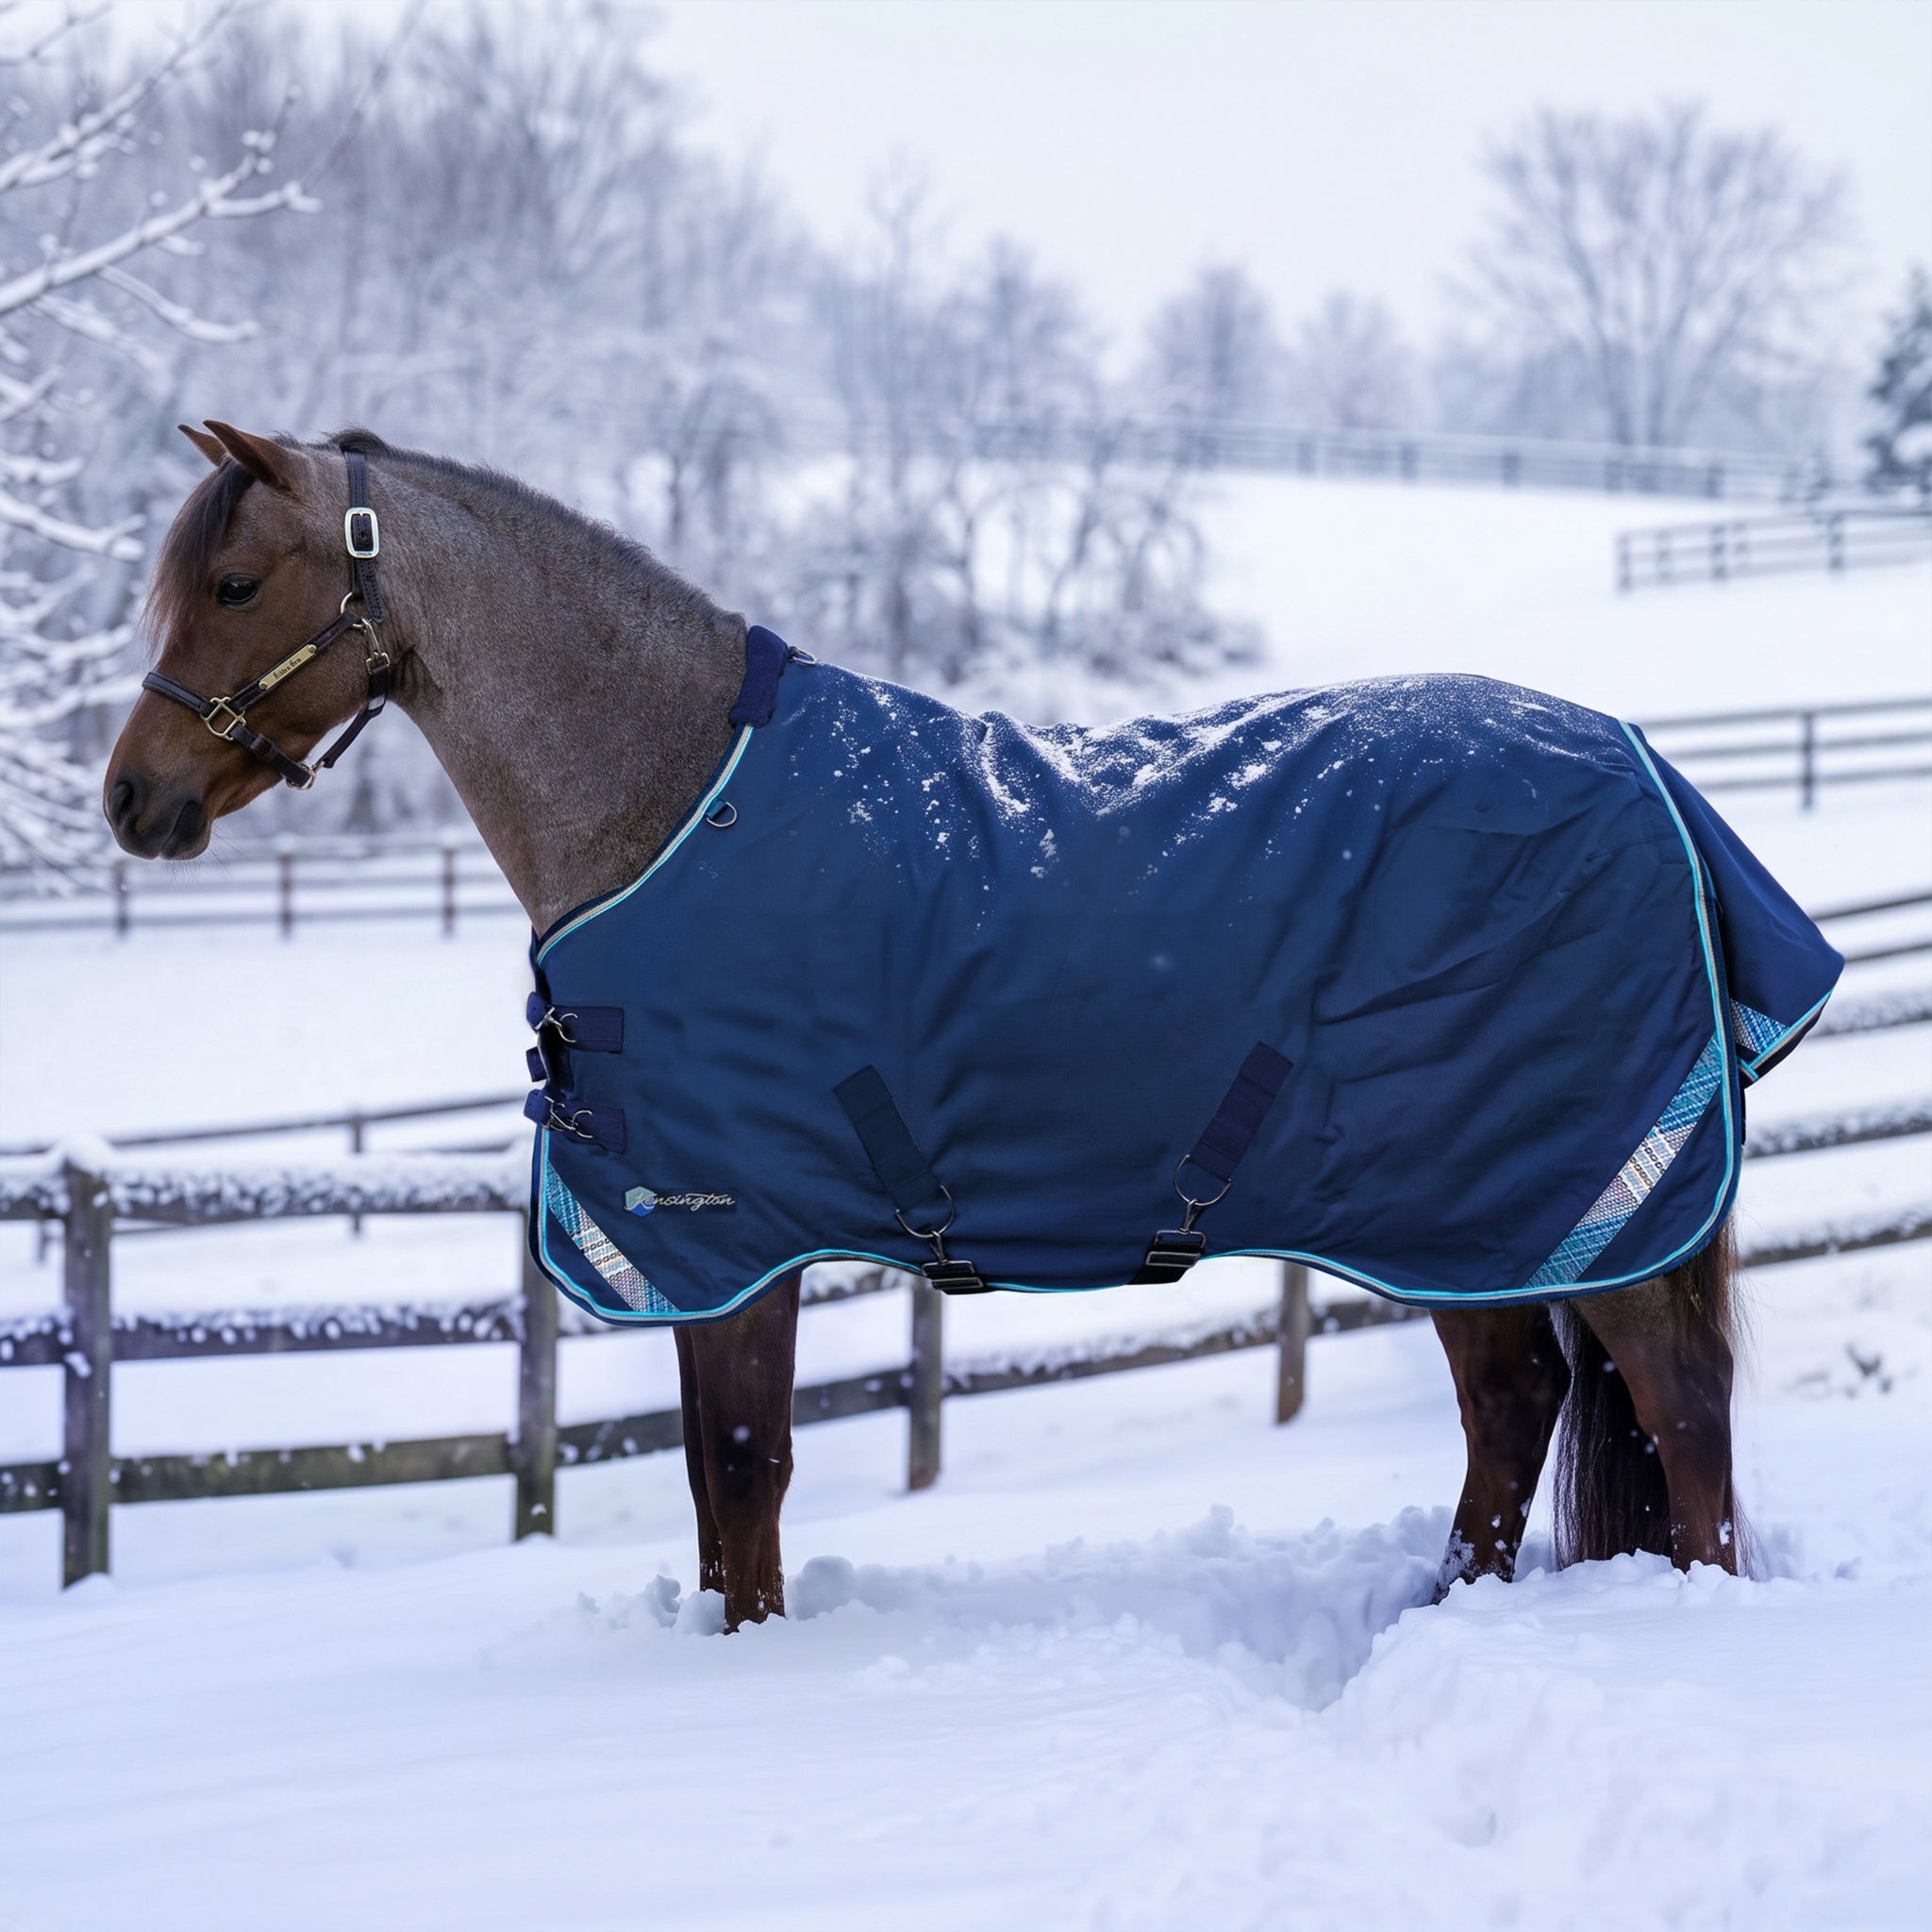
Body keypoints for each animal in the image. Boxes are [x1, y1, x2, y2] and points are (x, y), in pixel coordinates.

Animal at [105, 422, 1776, 1630]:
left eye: (236, 584)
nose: (133, 801)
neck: (670, 802)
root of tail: (1646, 773)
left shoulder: (736, 1234)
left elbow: (744, 1470)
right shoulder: (719, 1249)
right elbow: (718, 1492)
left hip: (1568, 1202)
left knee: (1679, 1412)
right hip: (1467, 1218)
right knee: (1518, 1407)